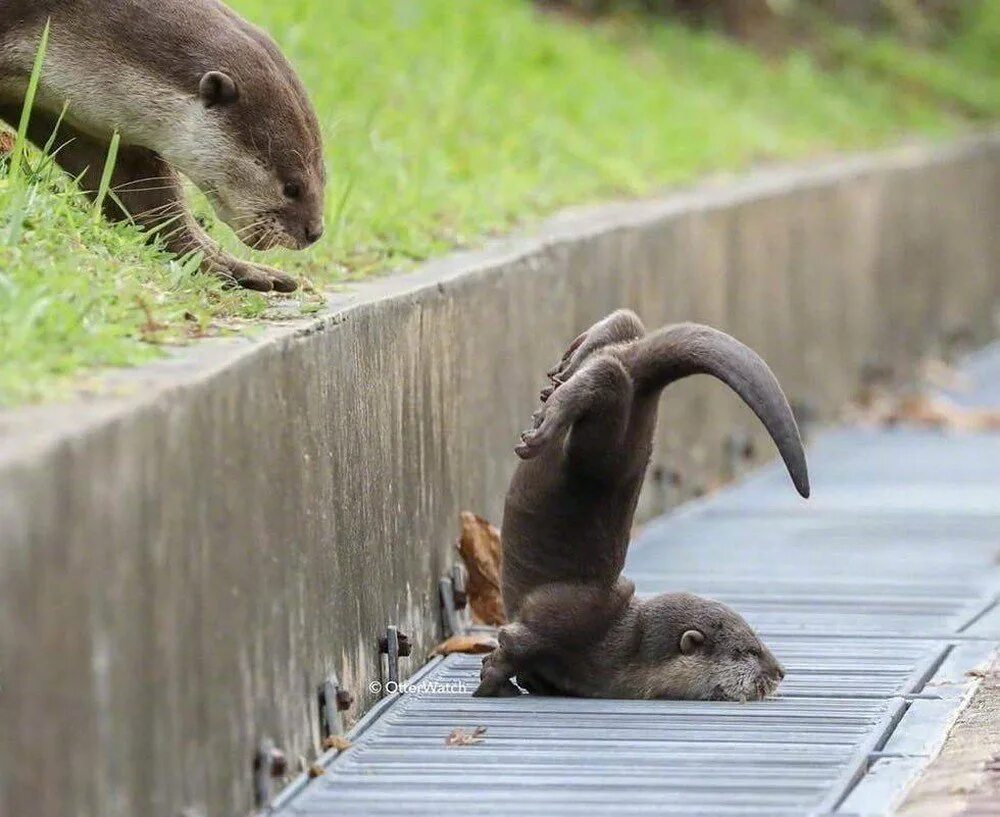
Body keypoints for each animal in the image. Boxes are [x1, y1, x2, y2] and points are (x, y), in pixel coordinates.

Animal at [0, 0, 322, 294]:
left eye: (323, 178)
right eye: (291, 188)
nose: (315, 232)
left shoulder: (86, 123)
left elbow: (141, 194)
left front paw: (224, 262)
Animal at [472, 310, 808, 700]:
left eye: (760, 640)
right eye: (748, 650)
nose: (780, 671)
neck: (619, 648)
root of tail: (647, 385)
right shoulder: (563, 621)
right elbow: (514, 644)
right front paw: (495, 683)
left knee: (624, 334)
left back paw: (569, 363)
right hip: (603, 448)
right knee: (610, 378)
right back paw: (548, 417)